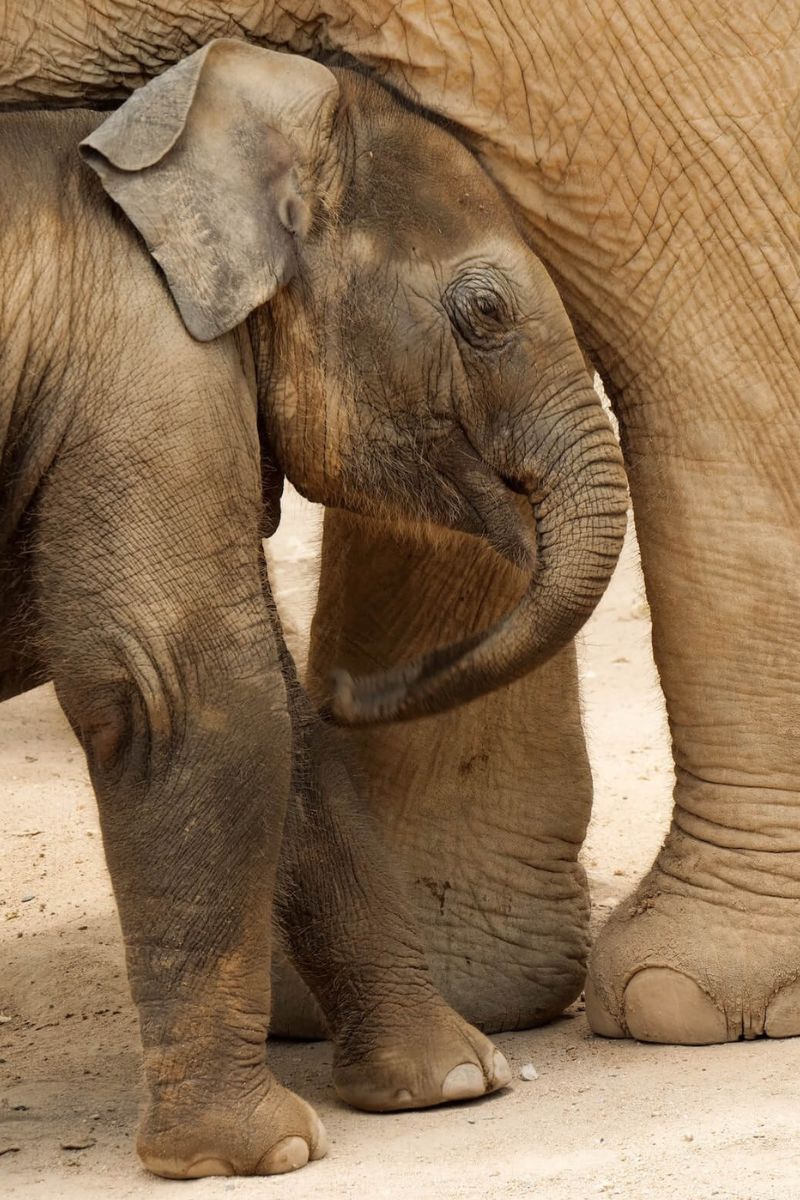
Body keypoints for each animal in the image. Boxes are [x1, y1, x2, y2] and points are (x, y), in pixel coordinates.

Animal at [0, 41, 628, 1176]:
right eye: (485, 316)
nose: (360, 680)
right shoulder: (140, 375)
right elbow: (196, 695)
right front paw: (261, 1154)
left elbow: (287, 729)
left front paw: (451, 1084)